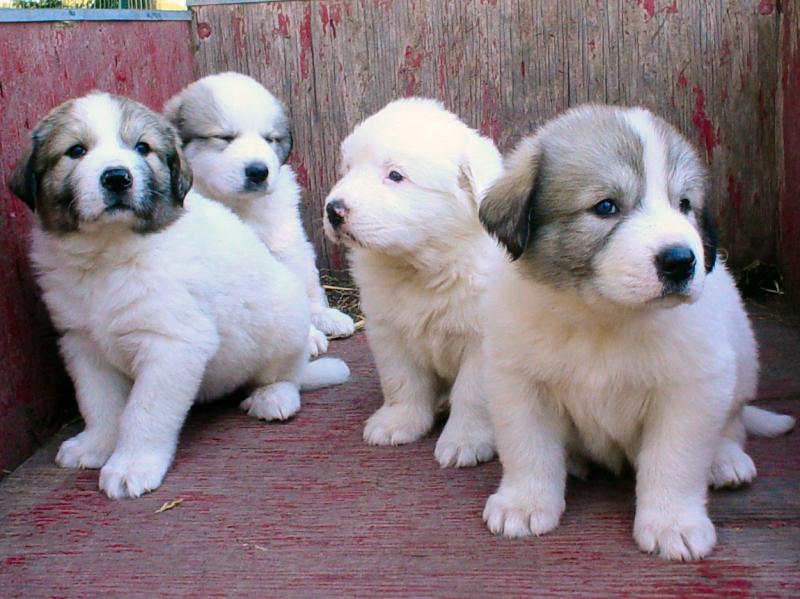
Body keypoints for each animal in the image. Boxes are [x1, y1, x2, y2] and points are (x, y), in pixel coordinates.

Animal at [9, 91, 346, 500]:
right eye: (76, 150)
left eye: (142, 148)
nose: (117, 177)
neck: (108, 251)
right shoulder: (82, 344)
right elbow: (99, 402)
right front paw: (96, 444)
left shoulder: (172, 344)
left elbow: (144, 412)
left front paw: (131, 466)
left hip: (284, 319)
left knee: (286, 372)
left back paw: (274, 396)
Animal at [478, 104, 796, 564]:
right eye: (606, 206)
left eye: (684, 204)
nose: (682, 261)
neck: (603, 318)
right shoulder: (518, 381)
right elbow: (528, 448)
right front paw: (524, 502)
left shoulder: (691, 390)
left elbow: (674, 461)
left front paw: (672, 524)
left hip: (741, 357)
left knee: (733, 421)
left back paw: (724, 459)